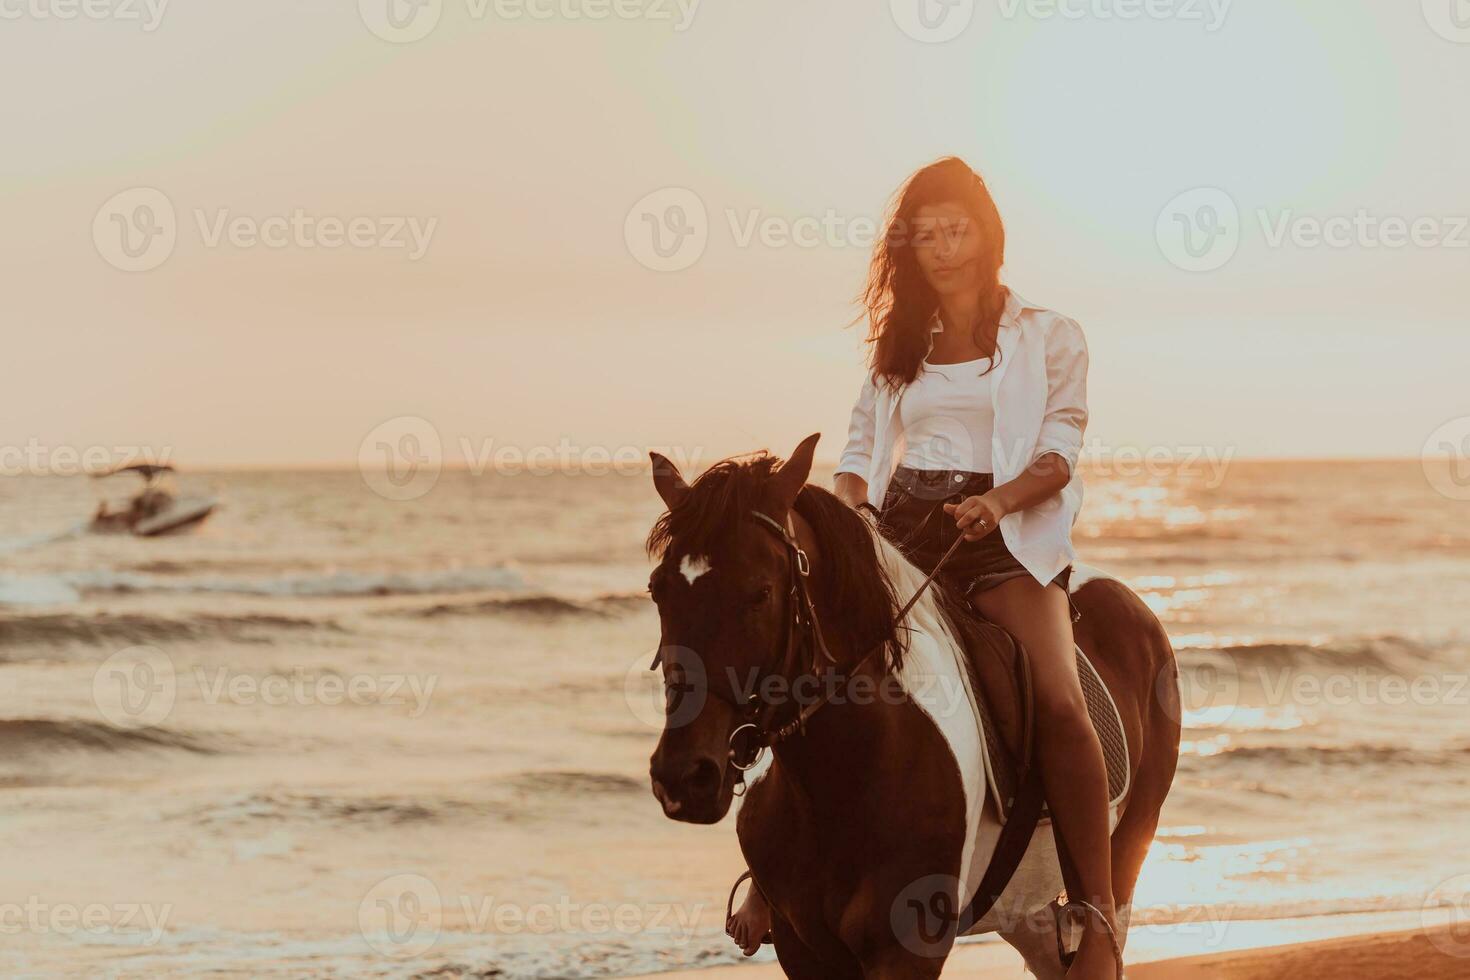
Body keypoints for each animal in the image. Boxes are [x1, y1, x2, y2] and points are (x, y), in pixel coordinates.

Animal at [643, 437, 1181, 980]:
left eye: (761, 592)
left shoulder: (907, 947)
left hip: (1129, 844)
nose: (684, 779)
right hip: (1022, 907)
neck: (847, 775)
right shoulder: (804, 947)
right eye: (657, 589)